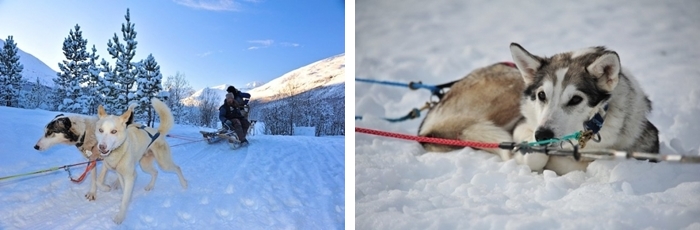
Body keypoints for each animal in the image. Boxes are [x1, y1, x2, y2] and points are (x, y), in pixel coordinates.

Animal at [418, 43, 660, 175]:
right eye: (542, 95)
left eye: (575, 99)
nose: (542, 135)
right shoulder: (523, 125)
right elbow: (535, 155)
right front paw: (528, 154)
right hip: (511, 91)